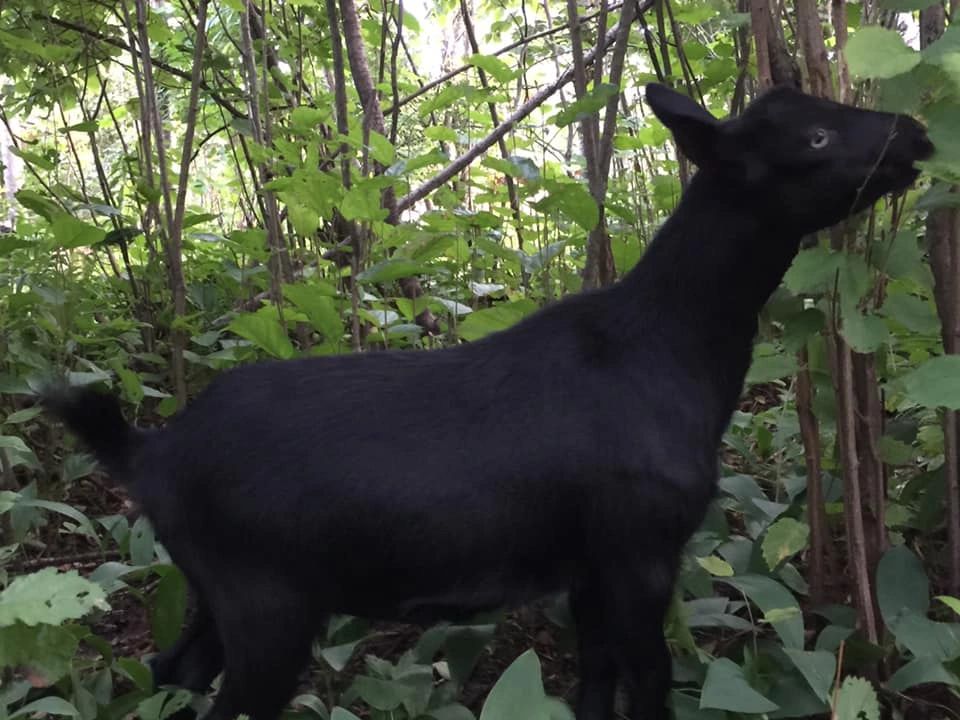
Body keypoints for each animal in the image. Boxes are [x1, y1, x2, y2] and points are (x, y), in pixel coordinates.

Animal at [45, 86, 928, 720]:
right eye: (813, 139)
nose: (918, 131)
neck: (666, 350)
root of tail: (149, 452)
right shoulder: (641, 547)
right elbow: (649, 685)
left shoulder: (588, 564)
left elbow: (595, 689)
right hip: (268, 607)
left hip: (209, 594)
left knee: (169, 673)